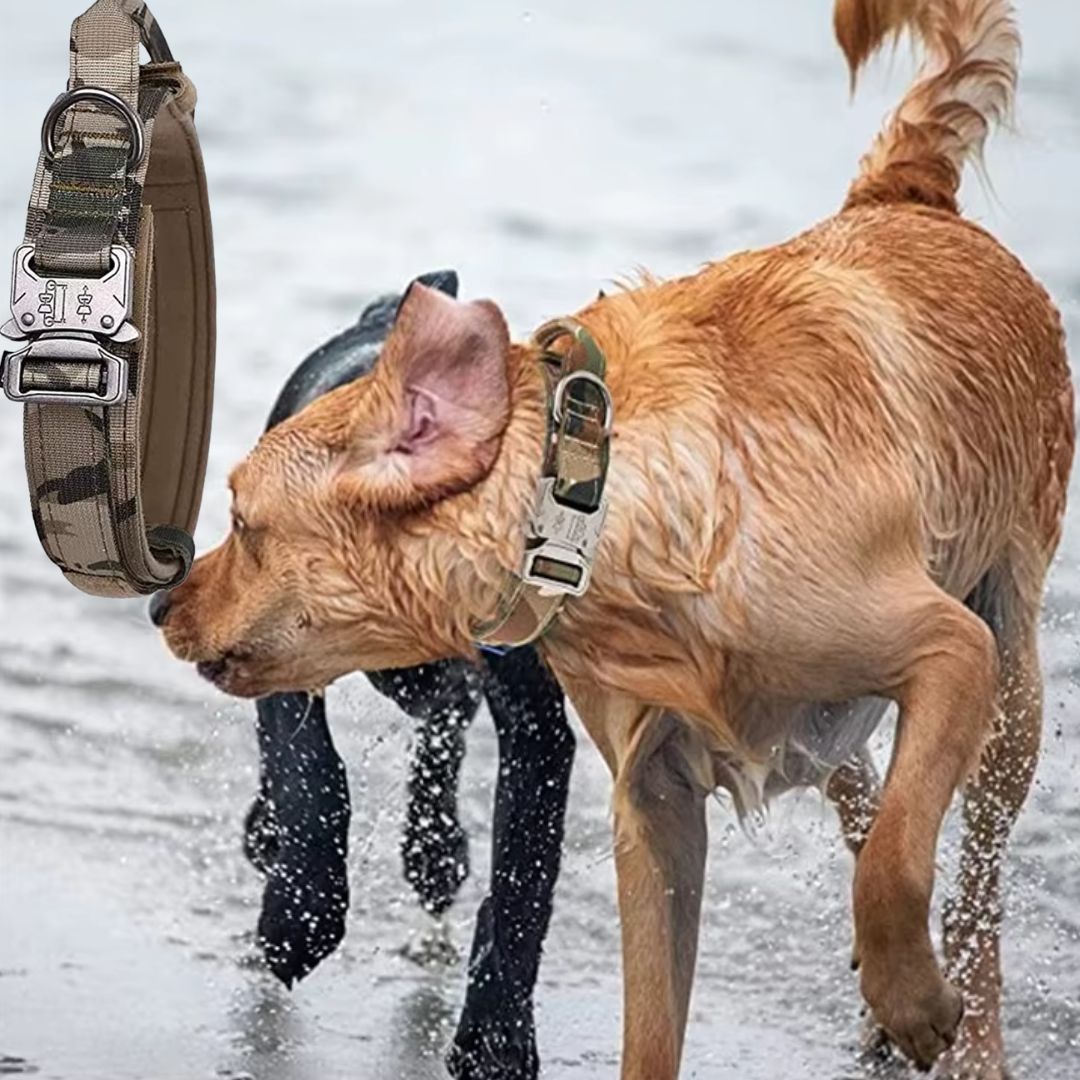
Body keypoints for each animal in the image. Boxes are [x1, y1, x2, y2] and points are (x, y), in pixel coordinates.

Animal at [207, 274, 578, 1075]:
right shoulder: (273, 644)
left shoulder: (537, 724)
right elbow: (310, 772)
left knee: (444, 729)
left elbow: (522, 878)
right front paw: (299, 915)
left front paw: (497, 1035)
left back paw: (434, 851)